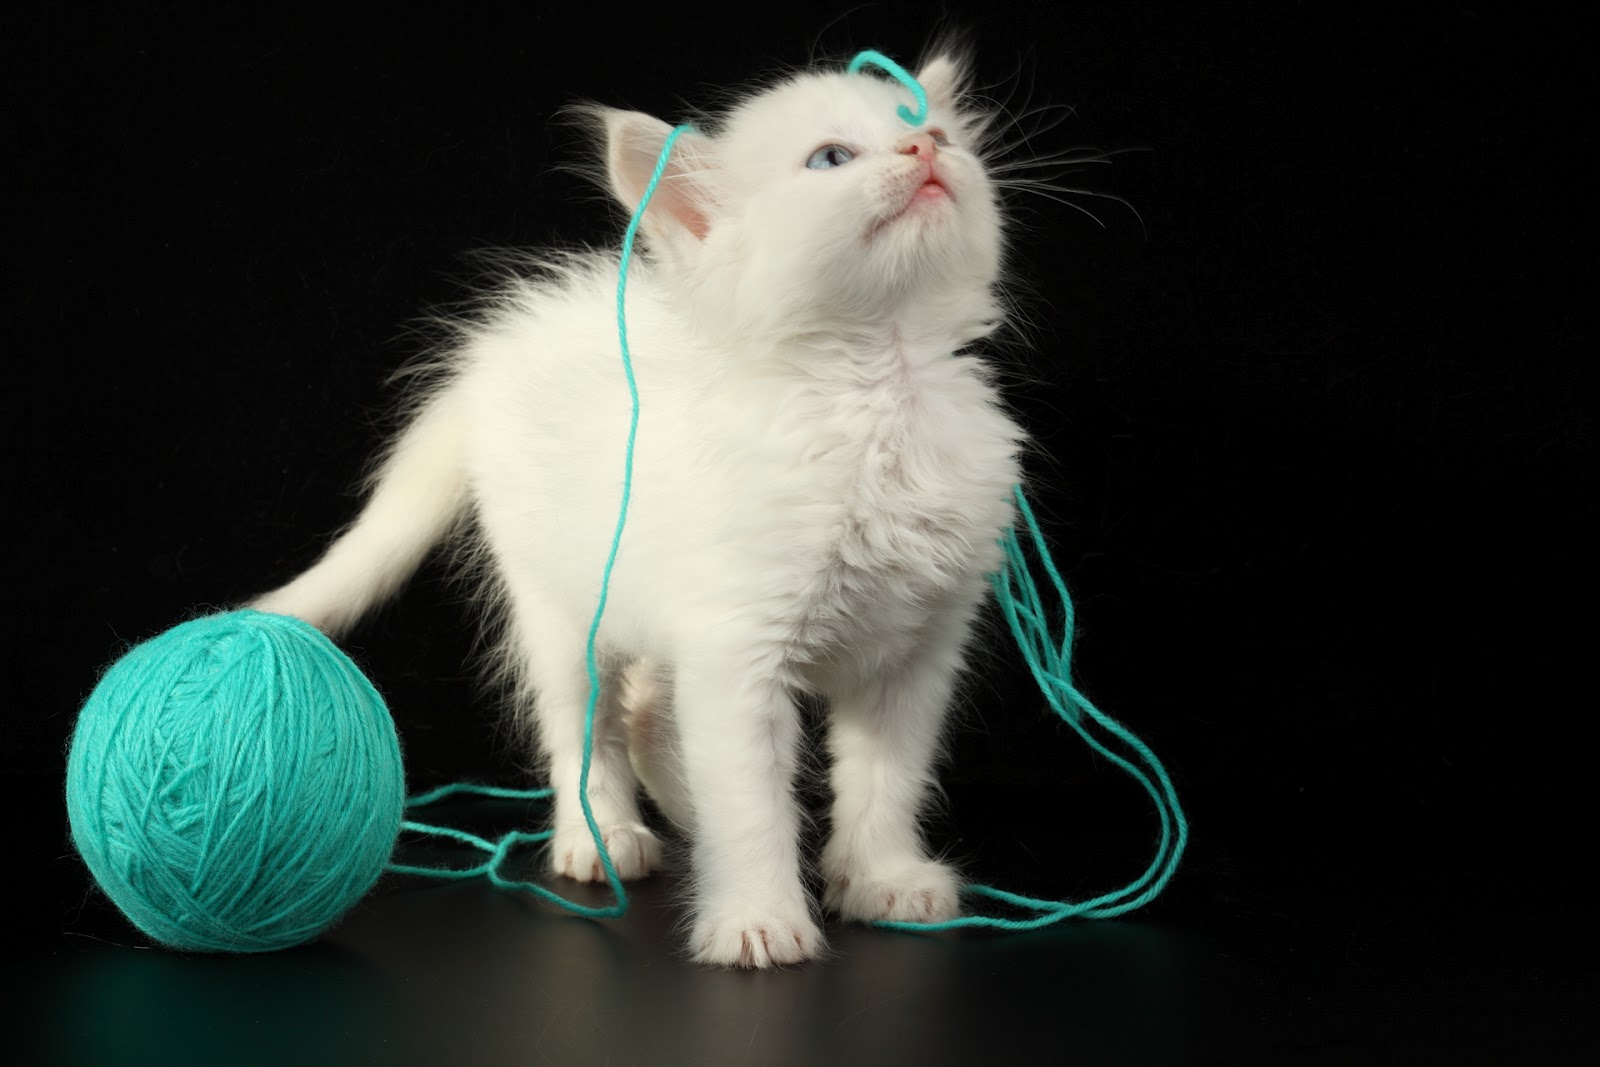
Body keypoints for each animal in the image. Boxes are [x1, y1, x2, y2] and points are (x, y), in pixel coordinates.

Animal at [252, 49, 1024, 966]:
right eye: (833, 158)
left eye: (938, 133)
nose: (925, 151)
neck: (884, 387)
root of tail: (493, 351)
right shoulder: (738, 650)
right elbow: (750, 799)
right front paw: (758, 918)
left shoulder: (914, 651)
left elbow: (885, 781)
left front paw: (882, 879)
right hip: (560, 612)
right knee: (585, 729)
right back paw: (603, 836)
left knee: (653, 710)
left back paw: (688, 815)